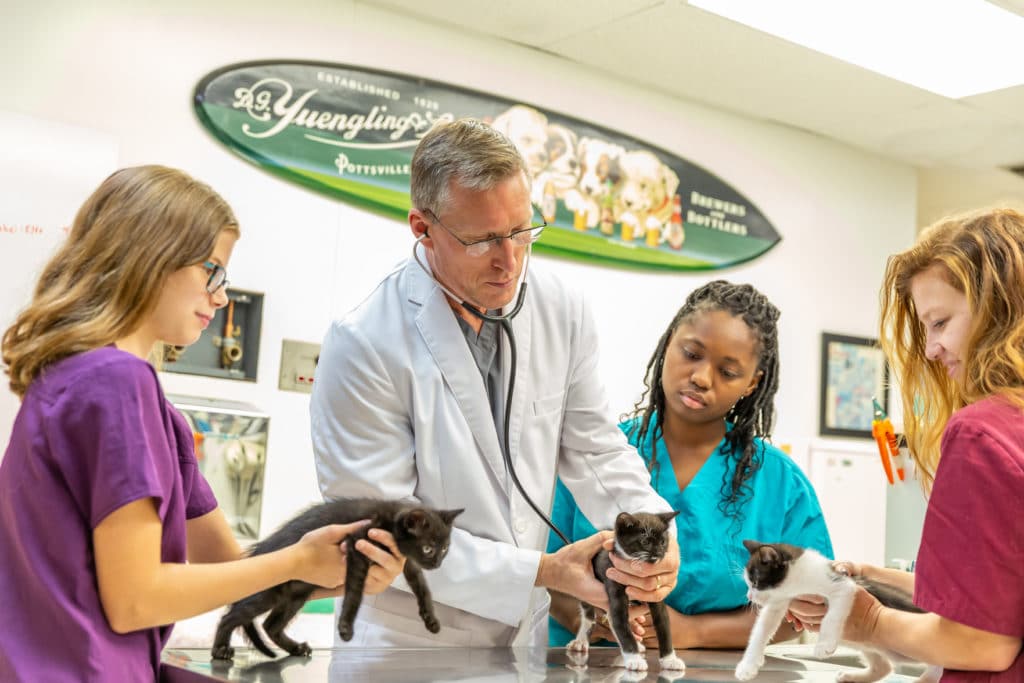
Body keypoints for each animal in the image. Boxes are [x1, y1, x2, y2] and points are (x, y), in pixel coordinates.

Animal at [209, 499, 462, 659]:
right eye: (428, 548)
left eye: (445, 548)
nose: (437, 564)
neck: (390, 521)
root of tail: (257, 553)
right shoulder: (357, 544)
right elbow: (355, 592)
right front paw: (346, 627)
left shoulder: (405, 561)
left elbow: (421, 586)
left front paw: (431, 619)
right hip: (268, 589)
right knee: (232, 615)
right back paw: (220, 649)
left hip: (296, 595)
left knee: (270, 625)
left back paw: (296, 648)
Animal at [569, 511, 688, 671]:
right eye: (645, 542)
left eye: (663, 542)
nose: (658, 553)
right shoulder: (613, 579)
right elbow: (620, 622)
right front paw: (634, 659)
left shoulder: (655, 594)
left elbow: (664, 625)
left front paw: (669, 659)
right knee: (589, 615)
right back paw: (581, 640)